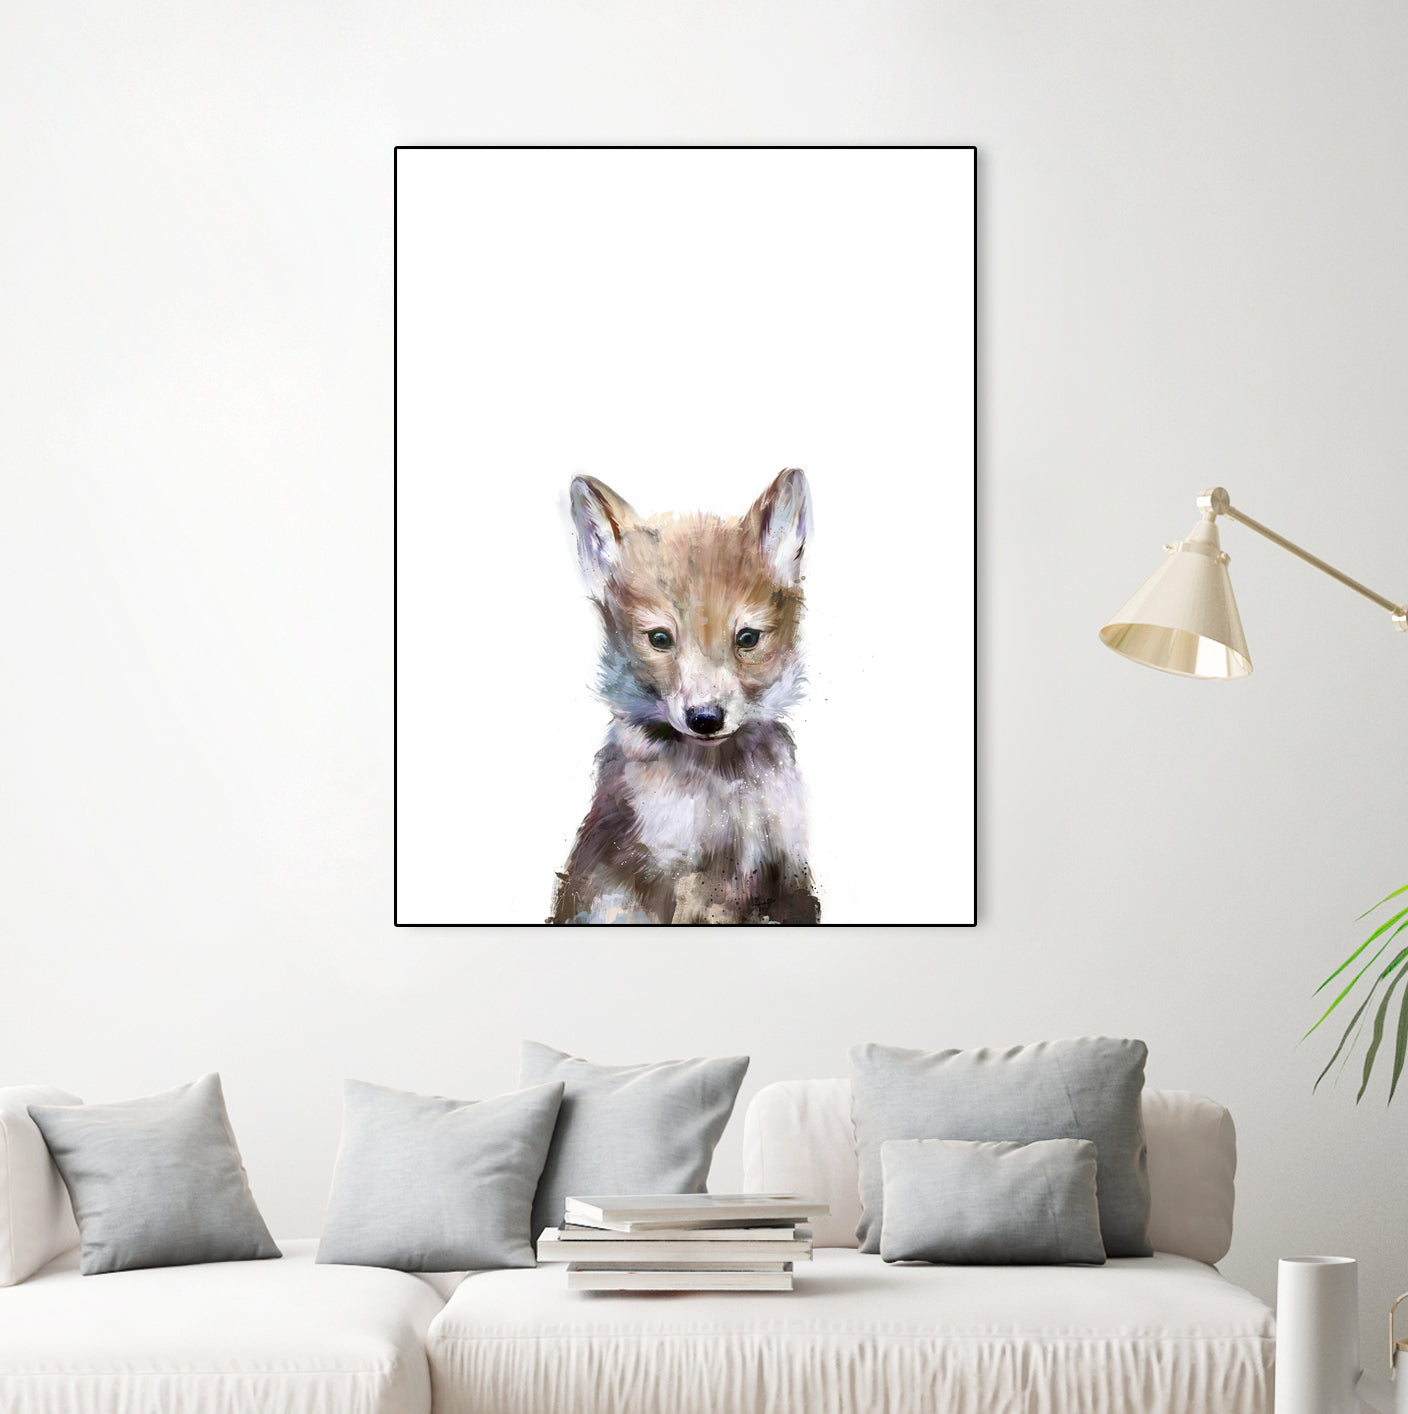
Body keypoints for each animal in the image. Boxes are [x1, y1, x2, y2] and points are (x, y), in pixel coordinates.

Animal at [550, 468, 820, 925]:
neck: (722, 788)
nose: (705, 719)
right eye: (660, 639)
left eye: (748, 638)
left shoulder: (786, 871)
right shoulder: (674, 875)